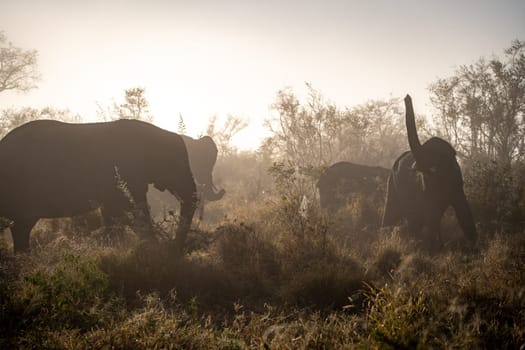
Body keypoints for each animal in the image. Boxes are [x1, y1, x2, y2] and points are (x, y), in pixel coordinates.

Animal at [0, 118, 196, 252]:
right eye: (174, 165)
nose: (174, 247)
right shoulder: (124, 172)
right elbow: (131, 210)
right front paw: (153, 250)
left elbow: (115, 214)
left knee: (21, 227)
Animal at [378, 94, 476, 245]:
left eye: (430, 155)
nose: (407, 96)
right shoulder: (424, 184)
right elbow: (431, 213)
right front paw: (435, 246)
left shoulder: (456, 180)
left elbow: (461, 206)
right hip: (392, 182)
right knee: (395, 211)